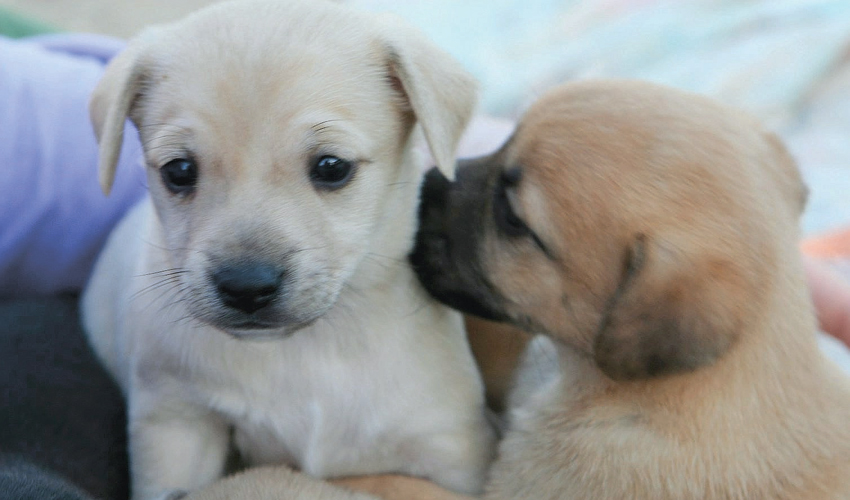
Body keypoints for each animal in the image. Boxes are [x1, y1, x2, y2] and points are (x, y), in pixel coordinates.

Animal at [80, 0, 494, 500]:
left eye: (332, 167)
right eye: (179, 171)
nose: (246, 288)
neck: (308, 349)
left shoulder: (449, 447)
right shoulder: (177, 424)